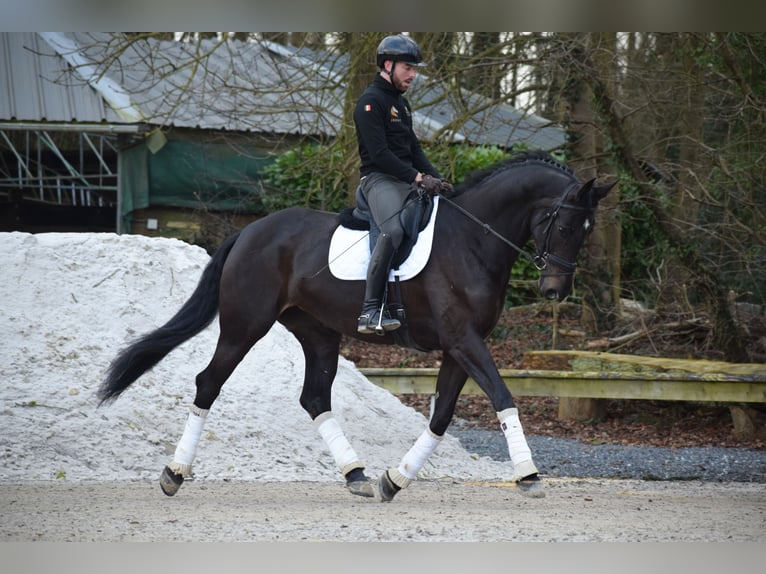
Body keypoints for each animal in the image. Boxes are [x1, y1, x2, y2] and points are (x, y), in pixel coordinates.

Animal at [99, 150, 616, 504]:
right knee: (208, 383)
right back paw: (173, 473)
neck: (472, 239)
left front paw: (395, 479)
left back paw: (357, 475)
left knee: (314, 397)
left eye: (588, 232)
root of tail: (250, 231)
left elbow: (441, 417)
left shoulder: (459, 346)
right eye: (565, 226)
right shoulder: (464, 340)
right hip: (245, 325)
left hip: (318, 332)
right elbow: (504, 397)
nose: (555, 291)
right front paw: (528, 475)